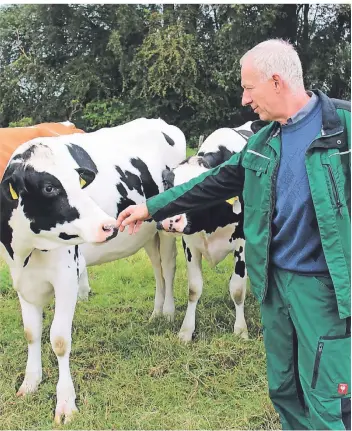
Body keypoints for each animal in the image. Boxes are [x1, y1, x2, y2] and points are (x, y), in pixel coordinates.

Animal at [0, 118, 187, 426]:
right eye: (49, 187)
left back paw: (169, 313)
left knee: (169, 266)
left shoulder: (67, 277)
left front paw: (65, 403)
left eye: (78, 181)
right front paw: (30, 383)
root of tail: (159, 121)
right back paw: (156, 313)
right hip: (146, 232)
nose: (108, 225)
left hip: (167, 225)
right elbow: (31, 332)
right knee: (157, 268)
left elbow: (59, 339)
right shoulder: (22, 280)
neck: (28, 248)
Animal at [158, 121, 266, 344]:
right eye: (167, 184)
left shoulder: (242, 243)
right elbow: (194, 289)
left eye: (198, 189)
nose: (170, 221)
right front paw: (186, 331)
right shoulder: (190, 244)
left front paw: (240, 330)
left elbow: (237, 289)